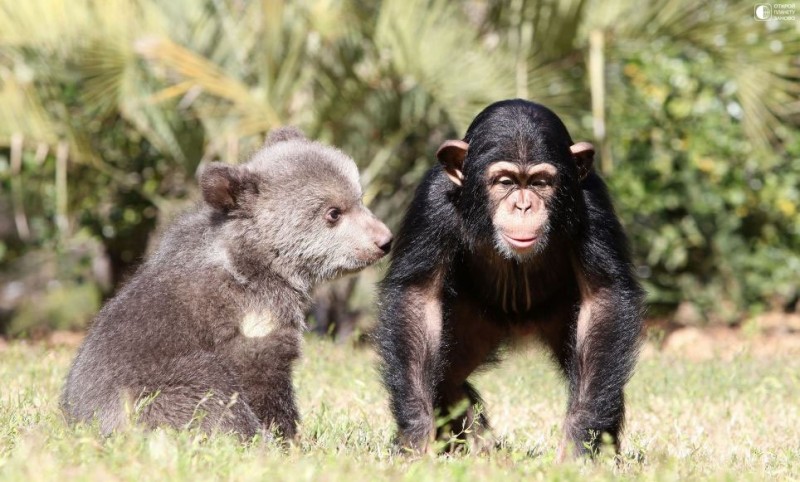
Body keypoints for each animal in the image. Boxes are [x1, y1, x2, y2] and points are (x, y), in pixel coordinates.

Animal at [378, 99, 648, 460]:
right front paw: (416, 437)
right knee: (447, 377)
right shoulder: (432, 202)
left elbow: (603, 297)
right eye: (505, 181)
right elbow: (417, 297)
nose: (523, 205)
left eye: (540, 183)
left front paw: (579, 444)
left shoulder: (593, 201)